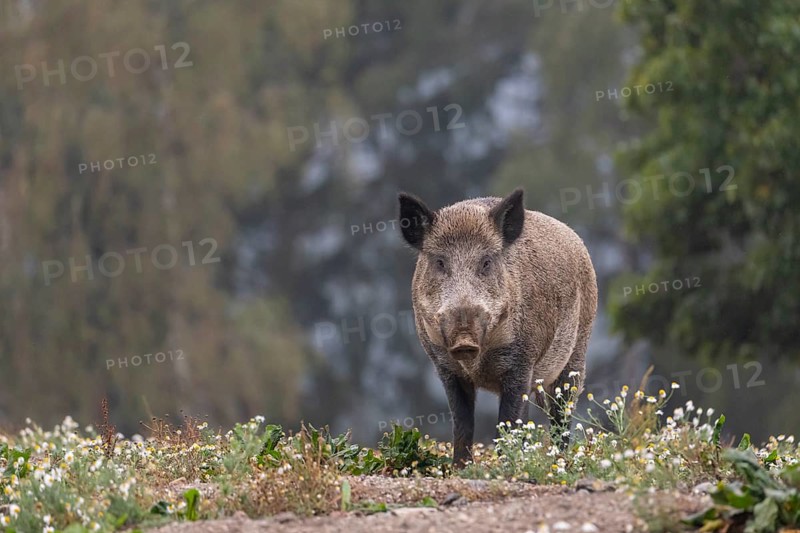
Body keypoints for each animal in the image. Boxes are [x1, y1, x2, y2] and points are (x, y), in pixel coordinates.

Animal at [397, 188, 597, 466]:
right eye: (439, 262)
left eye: (486, 262)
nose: (464, 339)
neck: (477, 362)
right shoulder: (445, 367)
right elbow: (462, 423)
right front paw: (460, 468)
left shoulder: (522, 361)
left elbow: (509, 421)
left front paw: (506, 466)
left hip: (577, 352)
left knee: (562, 412)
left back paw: (559, 461)